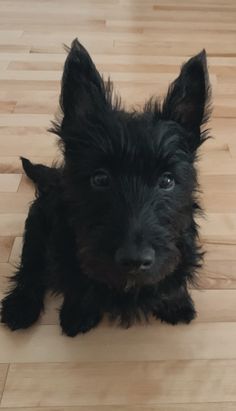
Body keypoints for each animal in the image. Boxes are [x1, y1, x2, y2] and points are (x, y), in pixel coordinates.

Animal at [0, 38, 211, 336]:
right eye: (100, 179)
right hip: (38, 223)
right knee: (31, 262)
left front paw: (175, 302)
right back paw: (21, 305)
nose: (134, 260)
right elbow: (73, 281)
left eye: (167, 180)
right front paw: (77, 311)